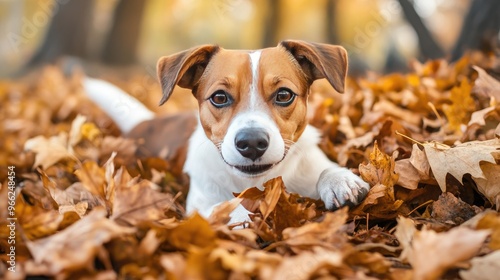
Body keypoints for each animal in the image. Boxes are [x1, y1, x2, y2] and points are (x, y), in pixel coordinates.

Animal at [83, 40, 372, 222]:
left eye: (284, 95)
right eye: (219, 97)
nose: (252, 142)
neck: (254, 182)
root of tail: (144, 122)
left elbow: (324, 169)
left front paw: (339, 179)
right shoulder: (199, 204)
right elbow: (225, 207)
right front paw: (247, 214)